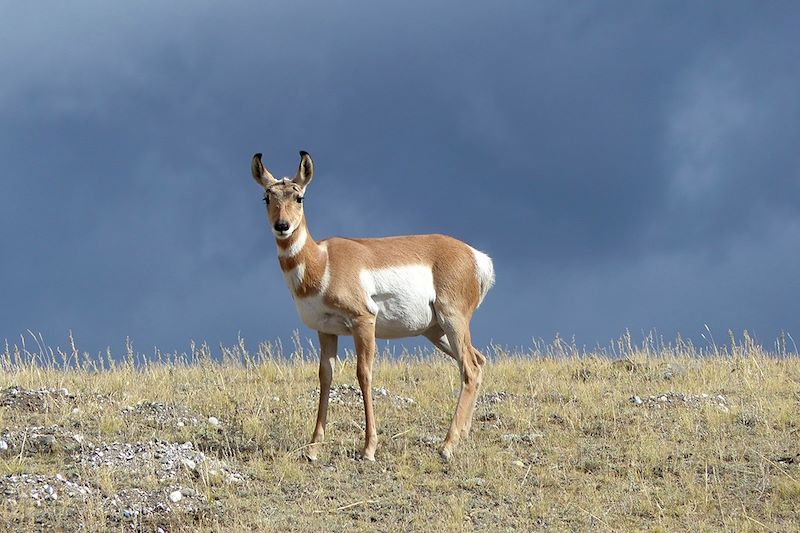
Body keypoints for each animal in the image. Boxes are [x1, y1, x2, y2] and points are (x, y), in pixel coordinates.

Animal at [252, 151, 494, 462]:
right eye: (267, 197)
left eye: (299, 197)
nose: (282, 226)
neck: (323, 261)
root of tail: (475, 256)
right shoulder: (325, 331)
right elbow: (325, 377)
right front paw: (314, 448)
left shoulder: (363, 322)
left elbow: (363, 375)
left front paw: (368, 448)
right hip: (436, 331)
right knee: (478, 361)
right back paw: (461, 436)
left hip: (452, 321)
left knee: (470, 369)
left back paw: (447, 445)